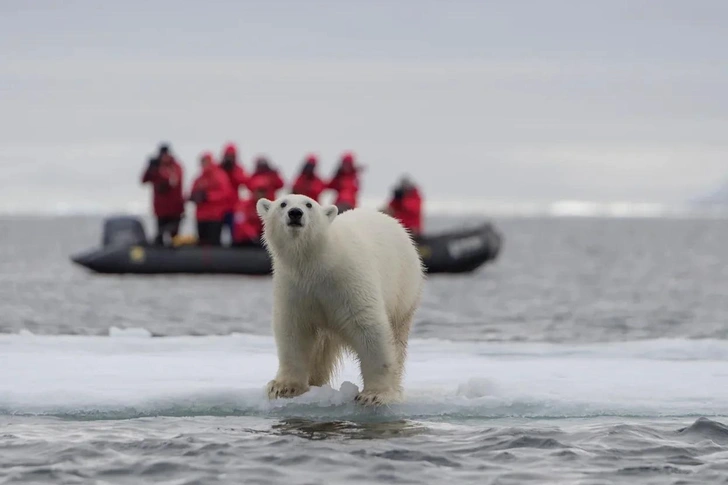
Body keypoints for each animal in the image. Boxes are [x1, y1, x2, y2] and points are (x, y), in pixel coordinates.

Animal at [258, 193, 424, 404]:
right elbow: (294, 331)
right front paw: (283, 387)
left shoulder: (350, 280)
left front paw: (374, 394)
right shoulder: (294, 286)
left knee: (397, 338)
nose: (295, 213)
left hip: (403, 289)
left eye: (308, 204)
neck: (317, 262)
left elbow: (369, 328)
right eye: (283, 203)